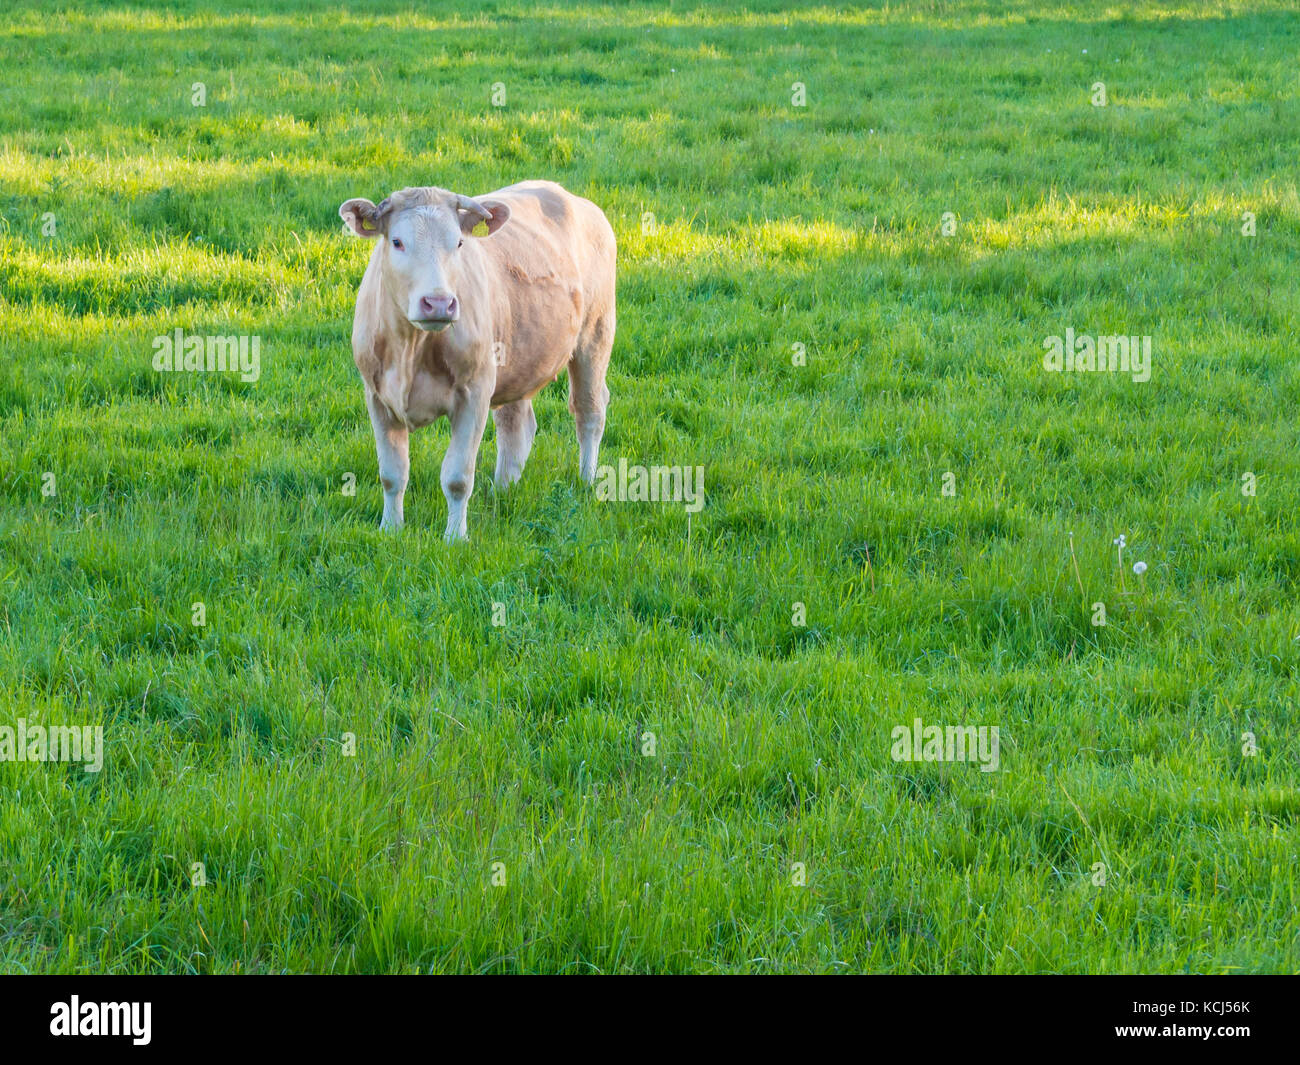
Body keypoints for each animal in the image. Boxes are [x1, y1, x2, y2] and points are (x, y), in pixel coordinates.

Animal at [338, 180, 616, 540]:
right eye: (397, 242)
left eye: (458, 242)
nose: (438, 303)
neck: (411, 349)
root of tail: (575, 200)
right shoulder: (376, 396)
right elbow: (391, 473)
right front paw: (391, 529)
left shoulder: (474, 392)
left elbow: (457, 477)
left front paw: (455, 537)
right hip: (516, 354)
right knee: (517, 423)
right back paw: (504, 488)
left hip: (595, 335)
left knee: (589, 411)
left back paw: (586, 480)